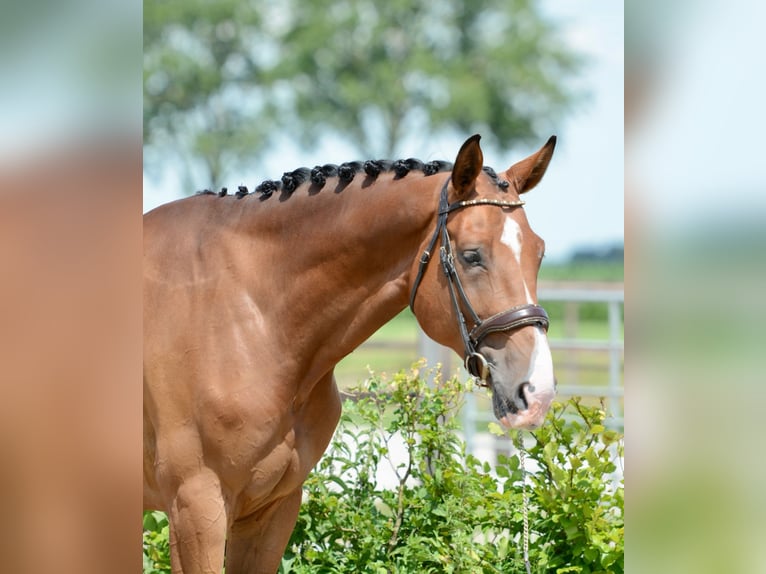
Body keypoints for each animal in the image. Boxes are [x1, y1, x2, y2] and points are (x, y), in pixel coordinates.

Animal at [143, 134, 557, 573]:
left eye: (539, 253)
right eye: (472, 255)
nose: (537, 391)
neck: (250, 315)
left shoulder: (273, 508)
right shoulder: (196, 507)